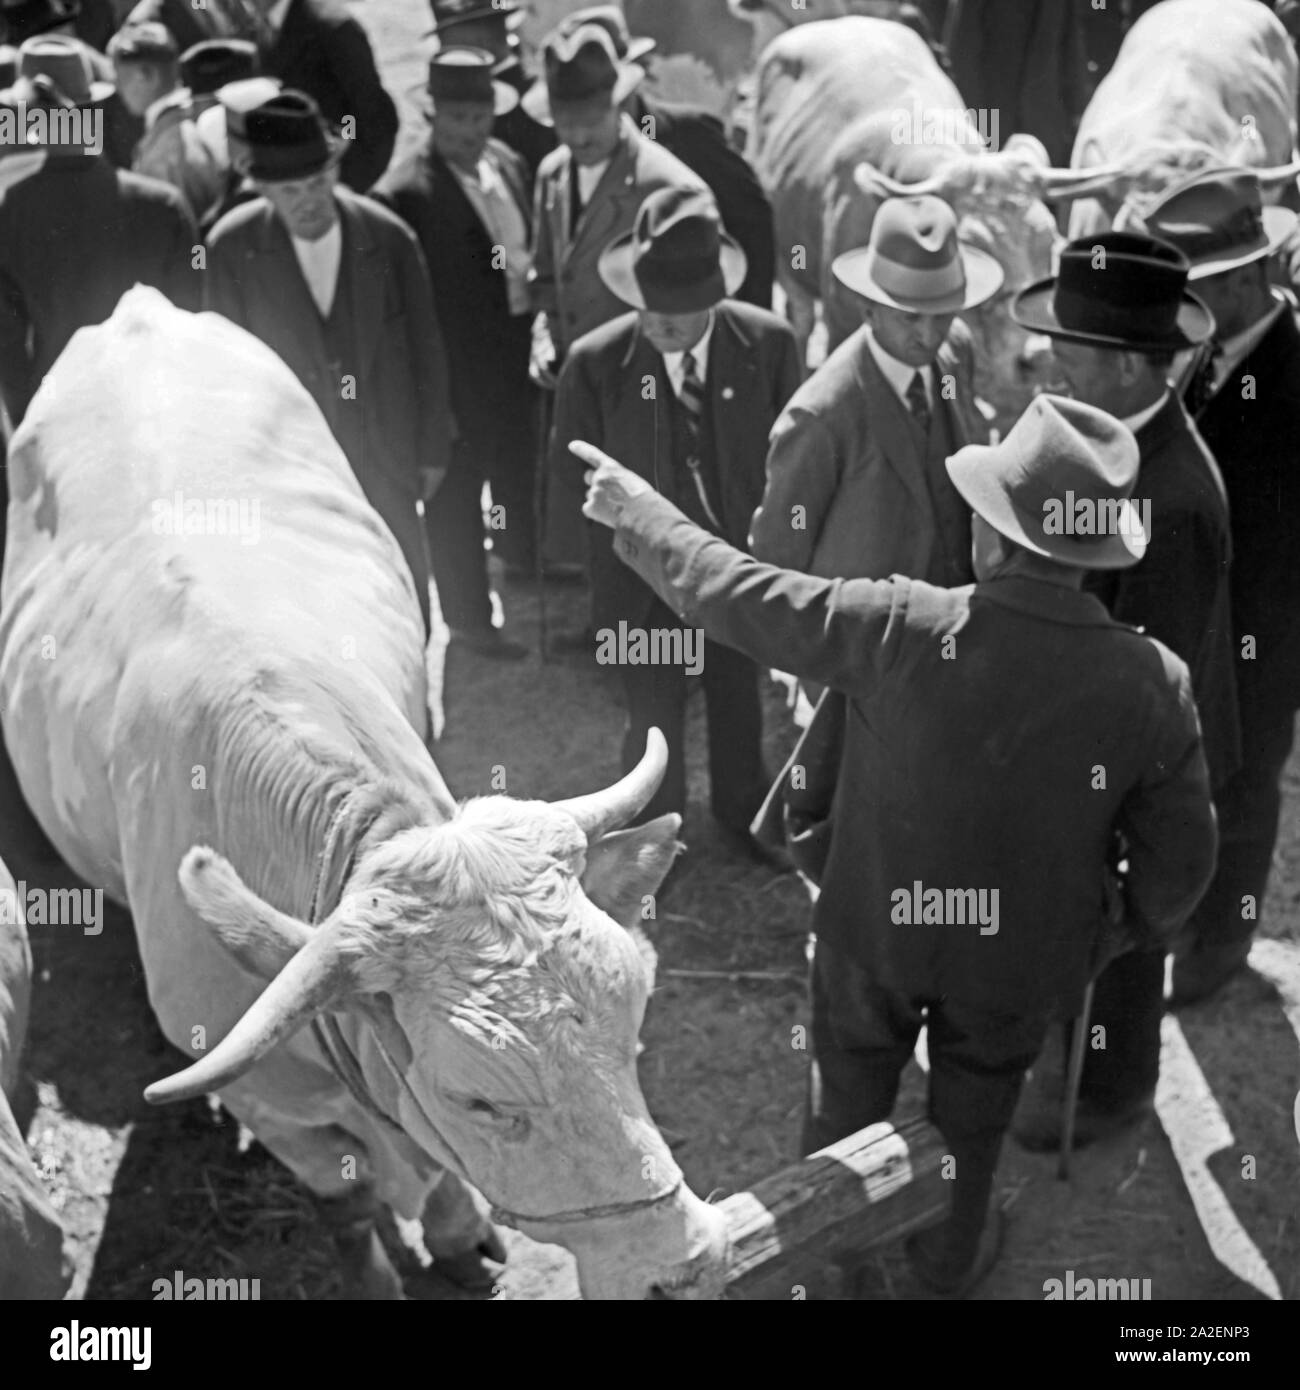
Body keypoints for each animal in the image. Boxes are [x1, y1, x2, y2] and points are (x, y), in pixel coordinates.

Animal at [0, 290, 734, 1301]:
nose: (686, 1264)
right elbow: (347, 1199)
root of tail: (137, 307)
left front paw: (459, 1233)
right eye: (478, 1096)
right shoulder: (274, 1109)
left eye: (633, 1029)